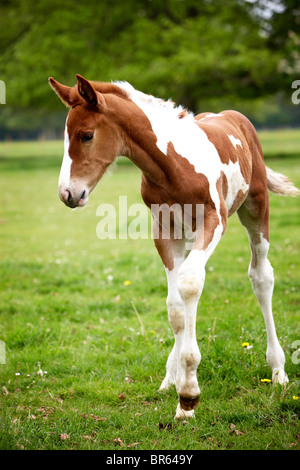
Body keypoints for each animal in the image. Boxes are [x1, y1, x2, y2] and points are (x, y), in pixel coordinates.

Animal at [48, 75, 298, 420]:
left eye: (86, 135)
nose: (67, 194)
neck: (172, 166)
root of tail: (234, 116)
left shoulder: (214, 221)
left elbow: (191, 283)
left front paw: (189, 395)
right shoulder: (165, 232)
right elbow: (175, 305)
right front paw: (180, 386)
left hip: (256, 209)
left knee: (261, 277)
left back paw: (277, 371)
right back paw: (170, 376)